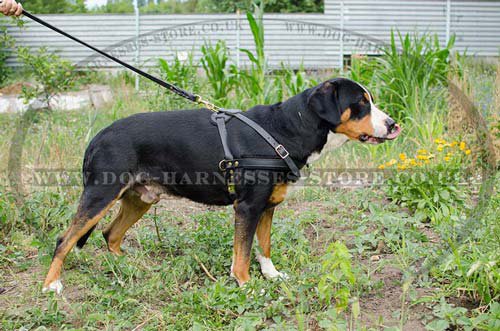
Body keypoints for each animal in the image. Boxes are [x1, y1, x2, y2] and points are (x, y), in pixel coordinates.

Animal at [42, 77, 402, 294]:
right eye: (361, 103)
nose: (394, 125)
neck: (286, 129)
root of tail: (98, 136)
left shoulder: (267, 206)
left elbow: (264, 246)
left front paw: (272, 275)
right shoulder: (248, 206)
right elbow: (242, 252)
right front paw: (246, 284)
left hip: (140, 198)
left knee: (110, 234)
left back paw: (126, 265)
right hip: (101, 194)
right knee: (64, 240)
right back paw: (51, 285)